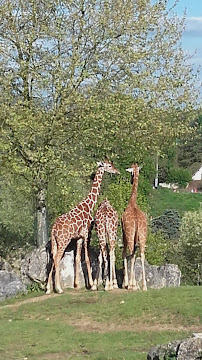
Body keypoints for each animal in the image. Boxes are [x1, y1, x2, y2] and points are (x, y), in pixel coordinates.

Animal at [45, 158, 120, 296]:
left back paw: (48, 288)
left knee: (52, 258)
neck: (89, 205)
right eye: (109, 165)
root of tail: (53, 228)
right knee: (57, 258)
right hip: (64, 240)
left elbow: (77, 258)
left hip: (55, 241)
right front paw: (90, 284)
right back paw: (59, 288)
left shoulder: (79, 237)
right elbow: (87, 258)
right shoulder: (87, 233)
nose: (117, 171)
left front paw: (76, 285)